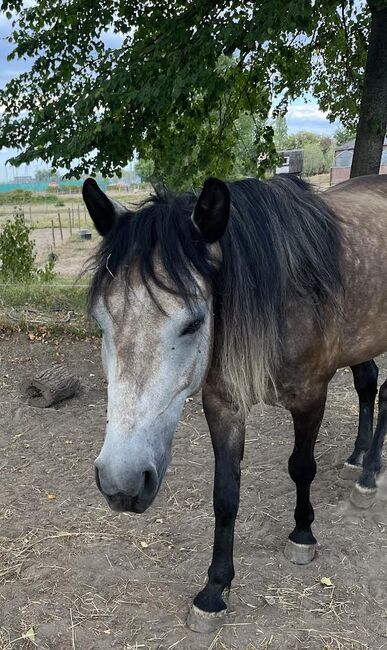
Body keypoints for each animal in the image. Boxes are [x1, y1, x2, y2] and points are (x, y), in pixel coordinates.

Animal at [82, 175, 387, 632]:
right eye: (101, 322)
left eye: (194, 323)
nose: (123, 482)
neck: (283, 293)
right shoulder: (223, 404)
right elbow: (225, 495)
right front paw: (214, 591)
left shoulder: (312, 396)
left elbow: (302, 467)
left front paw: (302, 534)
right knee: (368, 383)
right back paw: (357, 458)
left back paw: (369, 476)